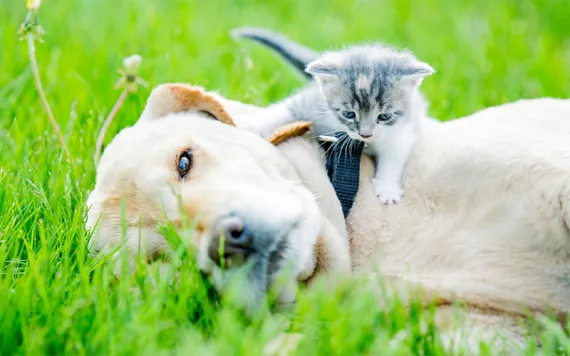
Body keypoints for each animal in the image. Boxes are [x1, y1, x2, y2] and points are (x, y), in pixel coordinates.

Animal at [231, 28, 434, 203]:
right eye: (349, 114)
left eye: (384, 117)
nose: (365, 134)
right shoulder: (312, 103)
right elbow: (284, 109)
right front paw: (247, 125)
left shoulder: (402, 131)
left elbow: (393, 159)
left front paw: (387, 188)